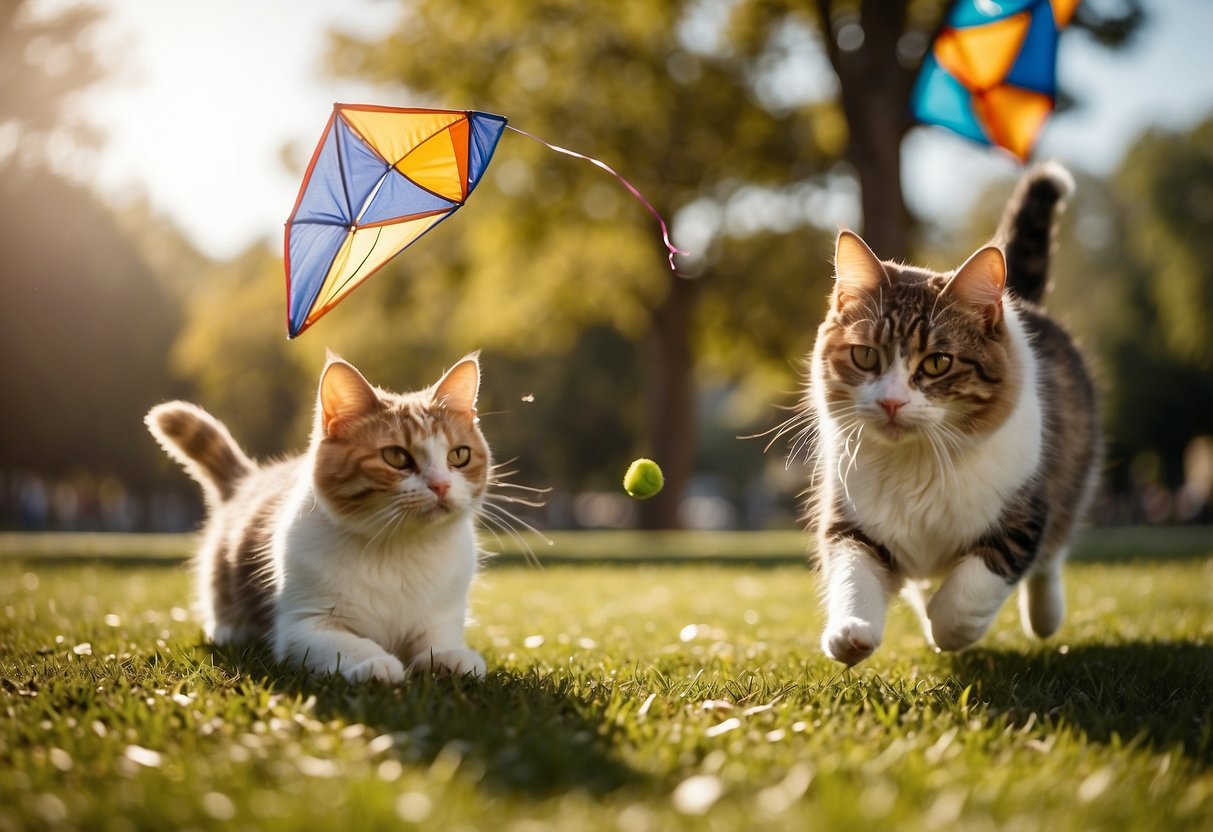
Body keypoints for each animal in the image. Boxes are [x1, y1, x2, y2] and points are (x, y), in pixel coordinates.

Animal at [149, 351, 490, 684]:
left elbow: (436, 640)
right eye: (396, 457)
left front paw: (451, 658)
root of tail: (250, 481)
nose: (441, 485)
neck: (398, 548)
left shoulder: (442, 615)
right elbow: (350, 644)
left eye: (459, 455)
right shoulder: (304, 626)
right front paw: (376, 664)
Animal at [805, 166, 1101, 669]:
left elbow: (964, 598)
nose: (891, 402)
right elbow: (853, 577)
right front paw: (852, 634)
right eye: (866, 356)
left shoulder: (1019, 520)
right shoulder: (852, 520)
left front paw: (943, 629)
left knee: (1051, 555)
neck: (918, 462)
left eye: (937, 363)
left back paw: (1044, 619)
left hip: (1071, 473)